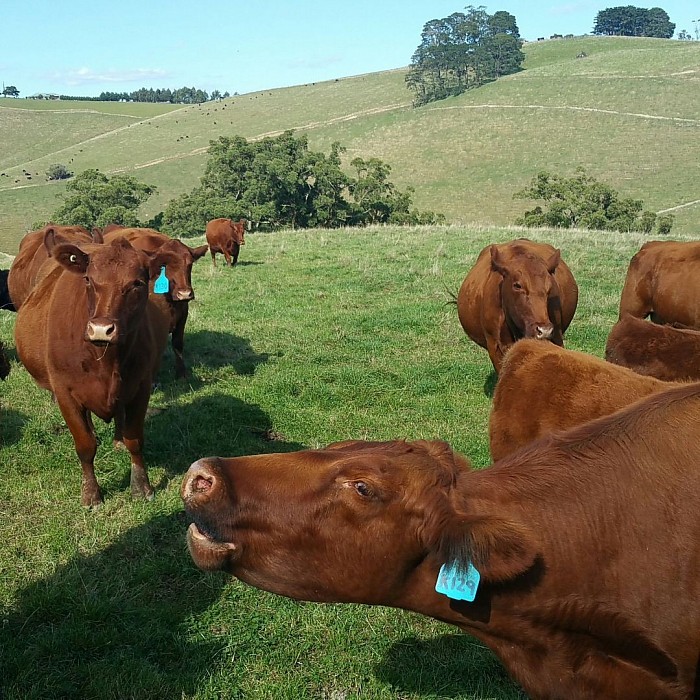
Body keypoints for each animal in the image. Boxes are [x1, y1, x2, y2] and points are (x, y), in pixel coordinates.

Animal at [14, 237, 170, 508]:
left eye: (137, 283)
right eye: (88, 279)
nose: (101, 329)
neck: (105, 360)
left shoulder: (141, 385)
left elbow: (135, 439)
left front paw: (142, 487)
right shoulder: (65, 393)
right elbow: (84, 445)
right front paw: (91, 494)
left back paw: (117, 440)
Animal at [104, 227, 208, 380]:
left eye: (189, 264)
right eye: (163, 266)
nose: (184, 293)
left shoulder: (183, 313)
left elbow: (178, 343)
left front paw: (181, 373)